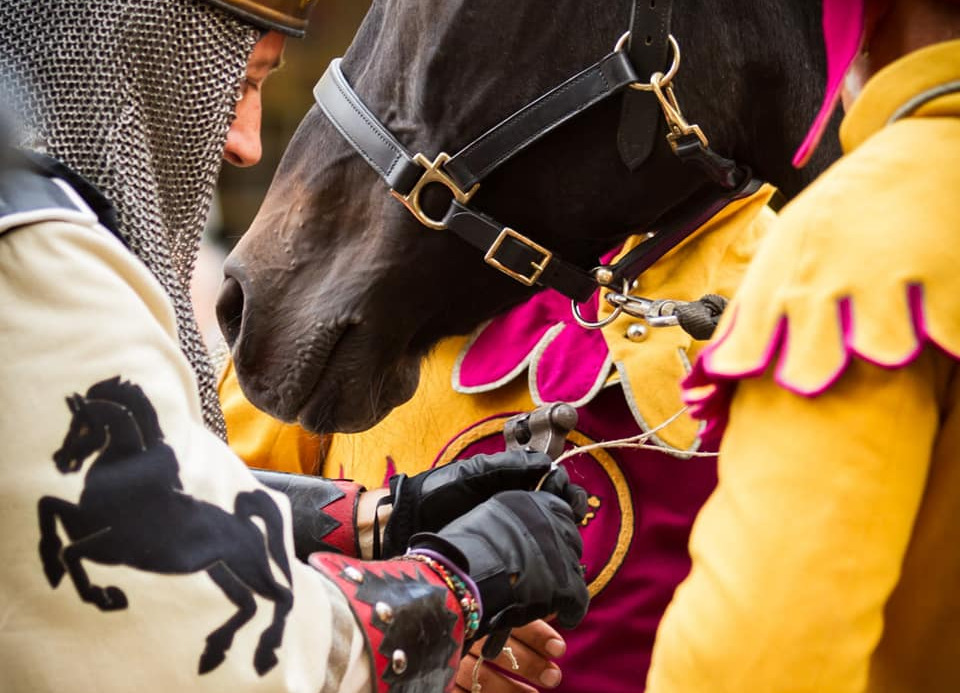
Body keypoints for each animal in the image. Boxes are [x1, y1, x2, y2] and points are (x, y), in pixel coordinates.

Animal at [37, 376, 294, 676]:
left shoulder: (115, 548)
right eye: (71, 424)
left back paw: (264, 655)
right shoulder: (85, 523)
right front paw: (53, 568)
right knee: (249, 605)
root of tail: (243, 520)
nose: (61, 461)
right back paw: (213, 652)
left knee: (283, 597)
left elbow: (71, 551)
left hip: (248, 567)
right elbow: (49, 505)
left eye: (86, 427)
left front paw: (103, 597)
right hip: (219, 570)